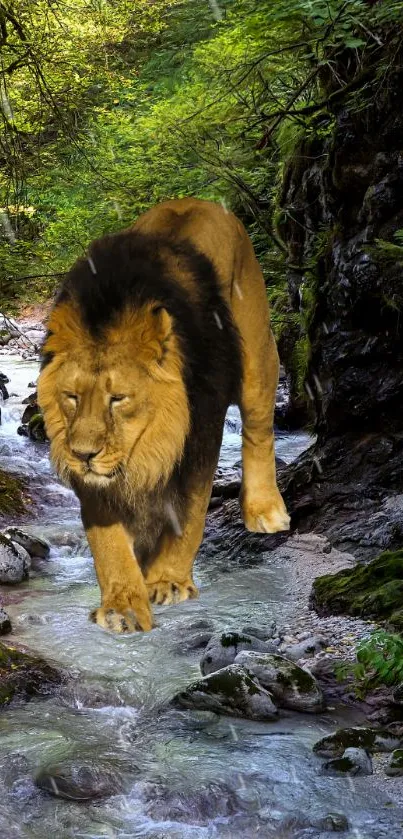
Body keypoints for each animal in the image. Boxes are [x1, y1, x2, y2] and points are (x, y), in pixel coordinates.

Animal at [38, 200, 290, 632]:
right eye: (71, 397)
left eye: (118, 399)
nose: (82, 455)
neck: (150, 444)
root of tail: (200, 201)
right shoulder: (98, 480)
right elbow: (108, 542)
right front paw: (122, 604)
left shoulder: (201, 435)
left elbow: (187, 516)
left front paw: (167, 581)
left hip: (256, 353)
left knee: (259, 428)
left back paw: (265, 510)